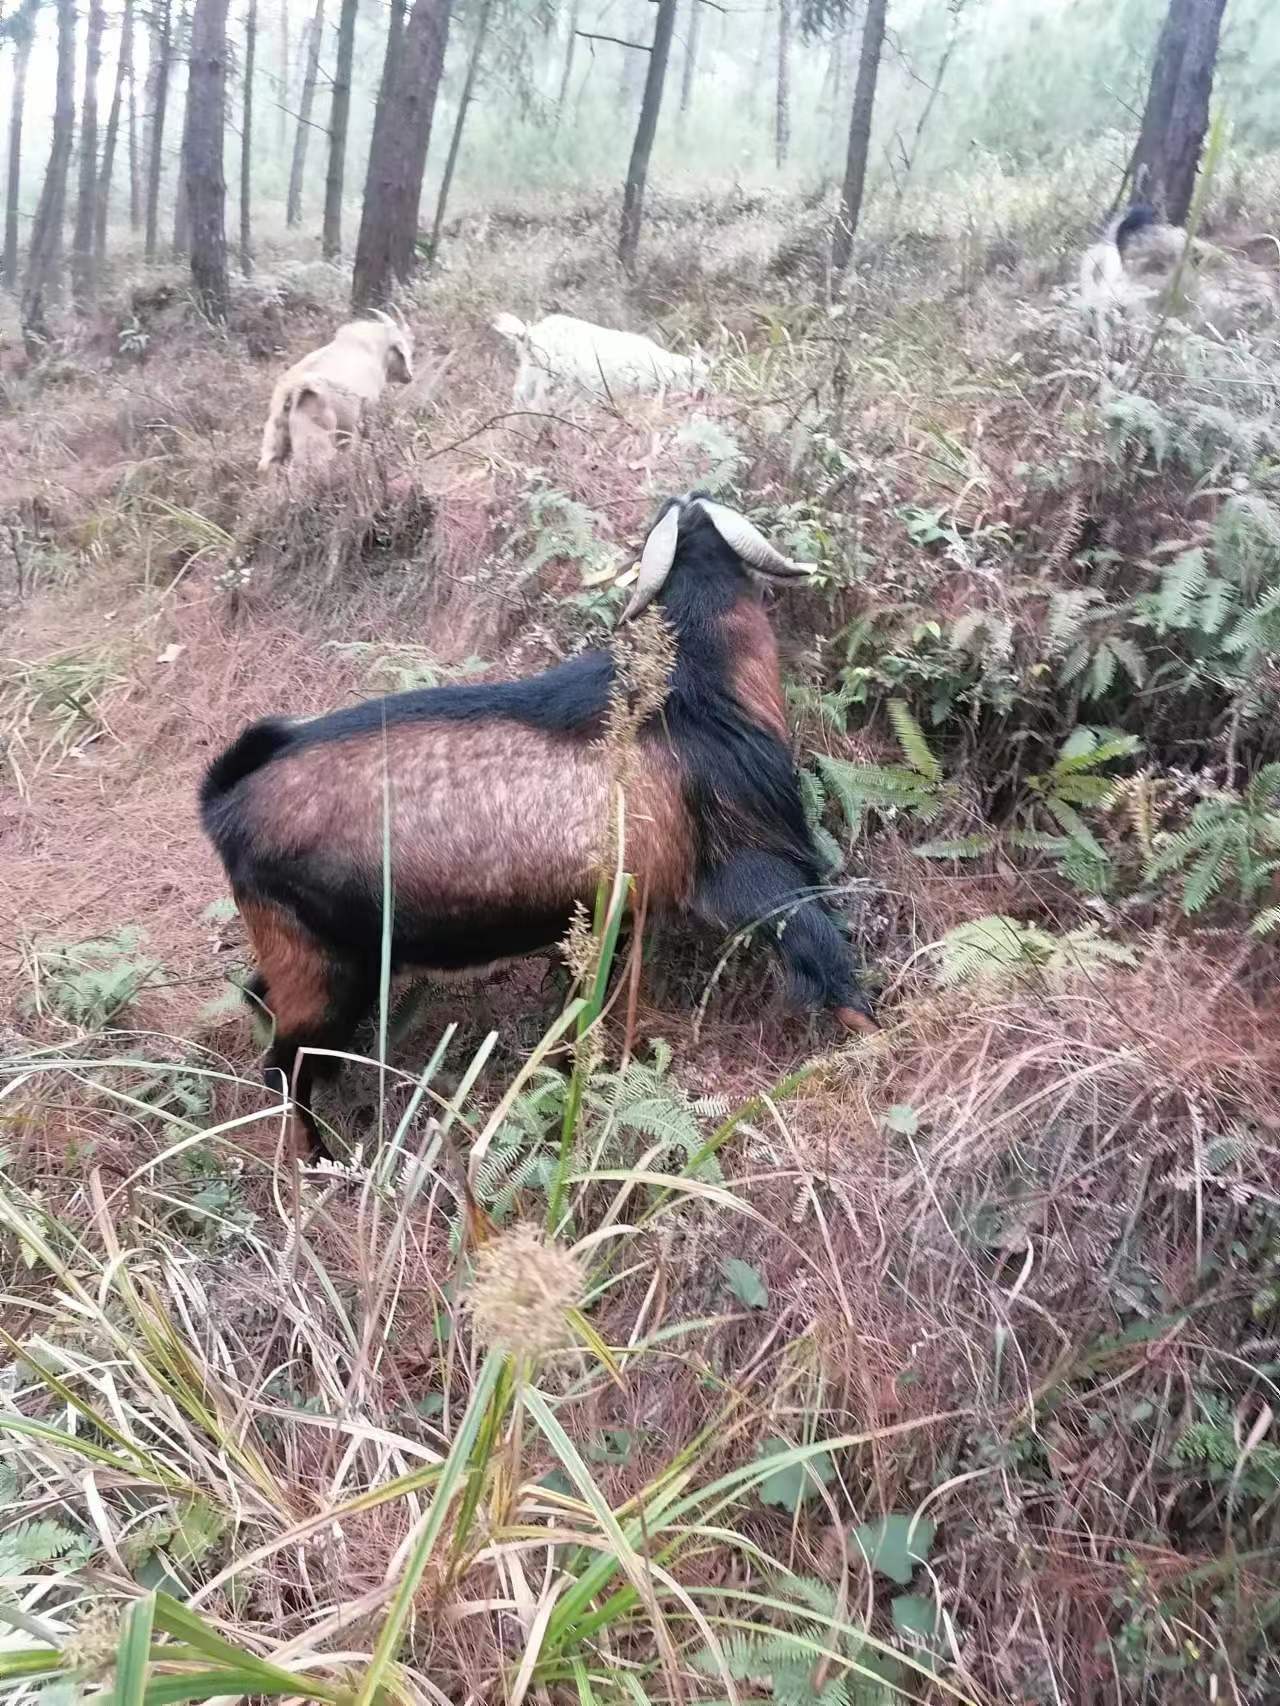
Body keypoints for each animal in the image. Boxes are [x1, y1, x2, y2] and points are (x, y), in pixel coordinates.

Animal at [203, 498, 880, 1160]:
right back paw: (318, 1160)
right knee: (286, 1064)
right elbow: (823, 956)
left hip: (309, 954)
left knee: (262, 1004)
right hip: (323, 973)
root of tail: (222, 803)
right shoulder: (750, 868)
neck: (692, 681)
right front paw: (878, 1036)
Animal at [259, 310, 416, 474]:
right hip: (315, 441)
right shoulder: (367, 412)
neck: (369, 349)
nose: (409, 377)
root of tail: (292, 390)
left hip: (276, 438)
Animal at [494, 312, 713, 411]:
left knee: (519, 397)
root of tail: (528, 334)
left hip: (529, 373)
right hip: (550, 378)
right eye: (696, 376)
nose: (707, 393)